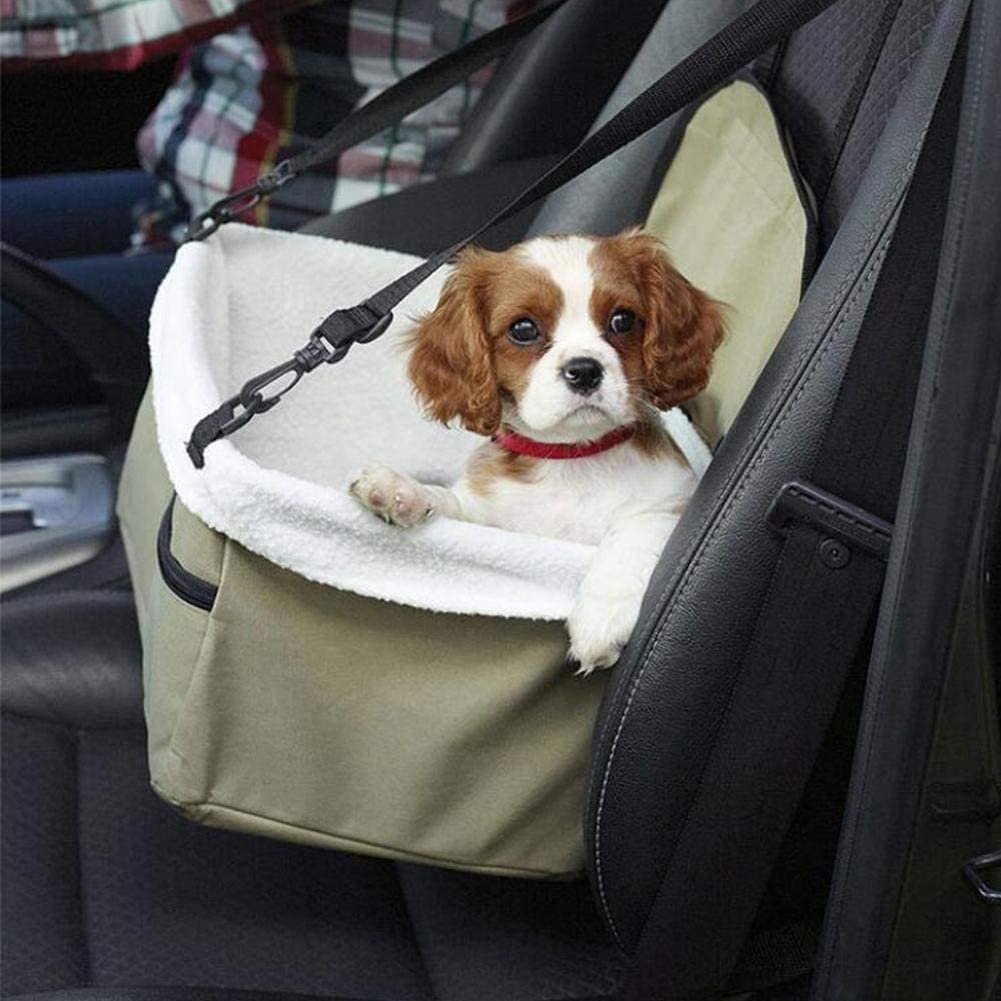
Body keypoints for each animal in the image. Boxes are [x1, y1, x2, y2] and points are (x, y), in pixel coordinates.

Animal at [348, 229, 724, 672]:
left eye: (623, 320)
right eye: (523, 329)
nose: (585, 370)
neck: (571, 458)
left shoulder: (672, 505)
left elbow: (634, 533)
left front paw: (602, 616)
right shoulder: (492, 522)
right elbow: (451, 504)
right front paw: (399, 490)